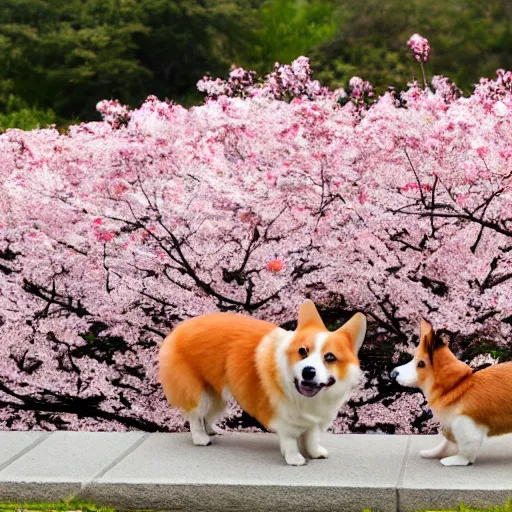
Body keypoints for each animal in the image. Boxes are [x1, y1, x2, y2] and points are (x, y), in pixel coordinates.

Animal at [158, 302, 366, 466]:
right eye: (302, 351)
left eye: (330, 357)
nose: (308, 371)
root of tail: (180, 328)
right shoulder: (284, 414)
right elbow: (290, 438)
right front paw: (294, 458)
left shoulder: (313, 417)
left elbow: (312, 436)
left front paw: (315, 453)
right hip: (197, 391)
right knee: (195, 416)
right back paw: (201, 438)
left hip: (217, 394)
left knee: (207, 415)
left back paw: (212, 430)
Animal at [392, 320, 512, 468]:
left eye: (421, 363)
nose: (393, 373)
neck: (456, 387)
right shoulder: (450, 427)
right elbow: (446, 445)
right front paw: (432, 453)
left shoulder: (465, 426)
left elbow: (466, 451)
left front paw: (455, 460)